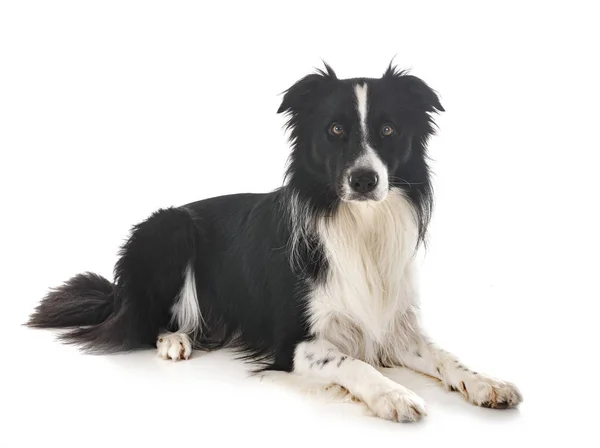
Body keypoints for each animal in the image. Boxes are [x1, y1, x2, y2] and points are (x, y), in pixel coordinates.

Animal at [28, 64, 520, 424]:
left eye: (388, 130)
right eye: (336, 130)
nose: (364, 180)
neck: (359, 225)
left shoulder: (388, 323)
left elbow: (444, 356)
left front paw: (486, 382)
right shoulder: (294, 341)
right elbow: (352, 363)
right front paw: (393, 394)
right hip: (169, 229)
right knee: (144, 319)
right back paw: (175, 341)